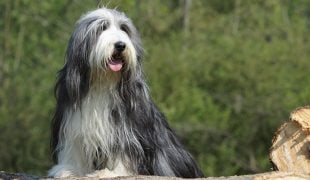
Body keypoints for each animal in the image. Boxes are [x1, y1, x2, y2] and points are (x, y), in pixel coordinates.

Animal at [47, 7, 203, 178]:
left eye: (124, 29)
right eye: (102, 27)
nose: (120, 45)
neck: (103, 82)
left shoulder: (126, 128)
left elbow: (124, 148)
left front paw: (111, 172)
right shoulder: (73, 121)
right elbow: (74, 144)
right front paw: (69, 169)